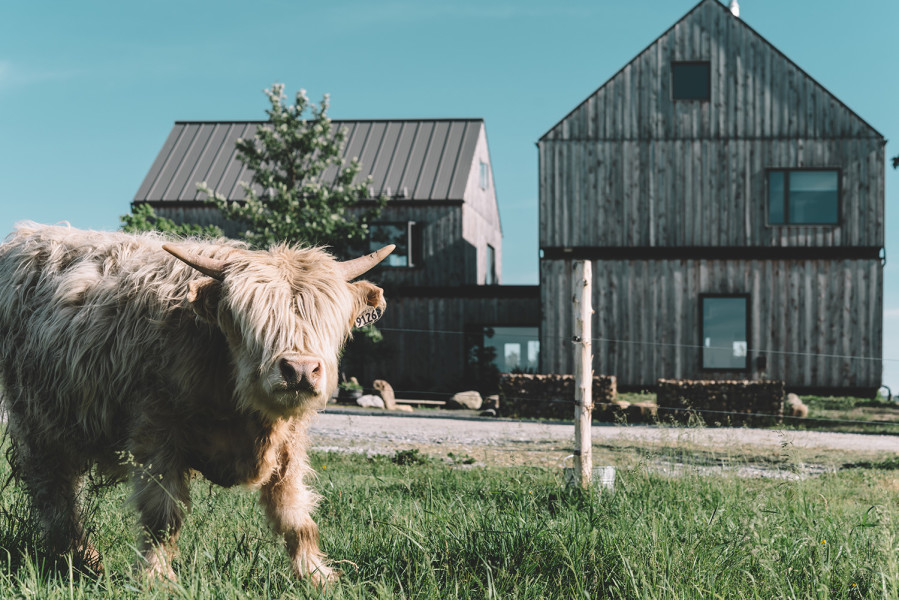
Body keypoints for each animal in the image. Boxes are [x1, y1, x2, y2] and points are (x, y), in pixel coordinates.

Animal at [0, 223, 394, 584]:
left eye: (328, 318)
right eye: (250, 320)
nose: (298, 370)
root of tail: (28, 235)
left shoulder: (289, 445)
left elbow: (294, 515)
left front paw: (316, 575)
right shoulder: (156, 431)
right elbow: (162, 516)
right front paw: (156, 578)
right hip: (36, 420)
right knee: (55, 495)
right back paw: (81, 560)